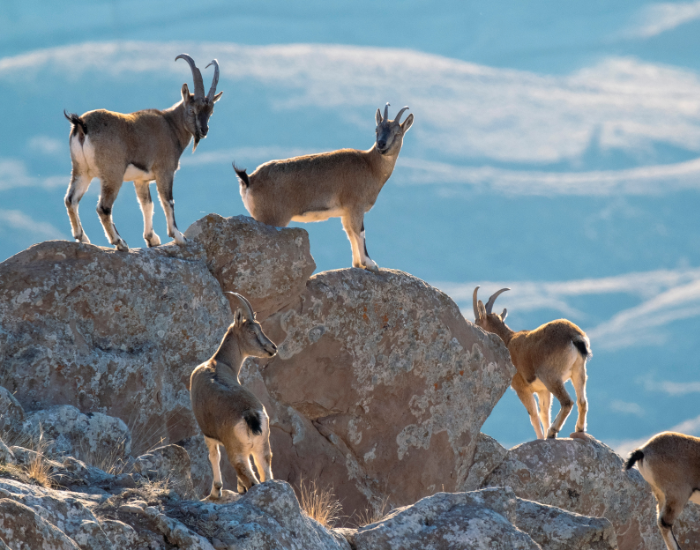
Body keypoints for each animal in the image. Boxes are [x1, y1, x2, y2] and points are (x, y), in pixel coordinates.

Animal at [64, 54, 223, 251]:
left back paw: (83, 238)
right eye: (192, 110)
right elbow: (168, 201)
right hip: (112, 174)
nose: (204, 130)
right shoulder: (164, 171)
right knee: (103, 207)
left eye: (211, 112)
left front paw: (151, 239)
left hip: (82, 170)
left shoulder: (141, 179)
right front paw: (179, 237)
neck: (170, 126)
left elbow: (147, 204)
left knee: (71, 199)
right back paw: (120, 242)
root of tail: (82, 124)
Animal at [190, 292, 277, 499]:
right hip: (262, 448)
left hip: (237, 453)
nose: (273, 348)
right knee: (265, 476)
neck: (217, 363)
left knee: (249, 477)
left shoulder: (208, 433)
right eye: (252, 331)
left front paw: (215, 491)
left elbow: (213, 456)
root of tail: (250, 415)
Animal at [233, 103, 414, 272]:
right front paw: (370, 264)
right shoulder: (356, 205)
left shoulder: (346, 211)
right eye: (377, 130)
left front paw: (357, 264)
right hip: (272, 217)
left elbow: (350, 233)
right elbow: (360, 232)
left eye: (397, 133)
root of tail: (249, 180)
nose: (381, 144)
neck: (370, 165)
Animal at [472, 286, 592, 440]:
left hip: (550, 376)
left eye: (477, 322)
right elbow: (544, 414)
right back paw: (579, 429)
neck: (507, 340)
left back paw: (552, 432)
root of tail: (574, 336)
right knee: (582, 401)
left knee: (567, 402)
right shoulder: (542, 390)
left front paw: (542, 437)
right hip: (578, 370)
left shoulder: (521, 387)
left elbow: (534, 415)